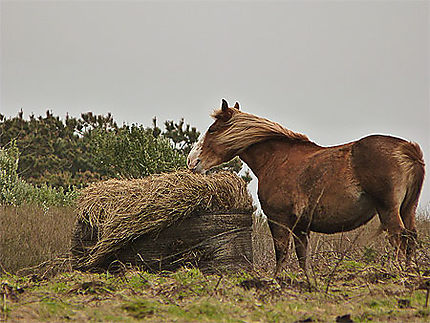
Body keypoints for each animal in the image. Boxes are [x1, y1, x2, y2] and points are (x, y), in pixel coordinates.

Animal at [186, 99, 424, 274]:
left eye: (213, 130)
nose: (192, 161)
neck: (276, 159)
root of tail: (406, 149)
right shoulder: (301, 226)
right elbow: (303, 258)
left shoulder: (278, 220)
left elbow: (281, 254)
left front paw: (277, 282)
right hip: (407, 209)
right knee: (411, 238)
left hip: (388, 210)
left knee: (399, 238)